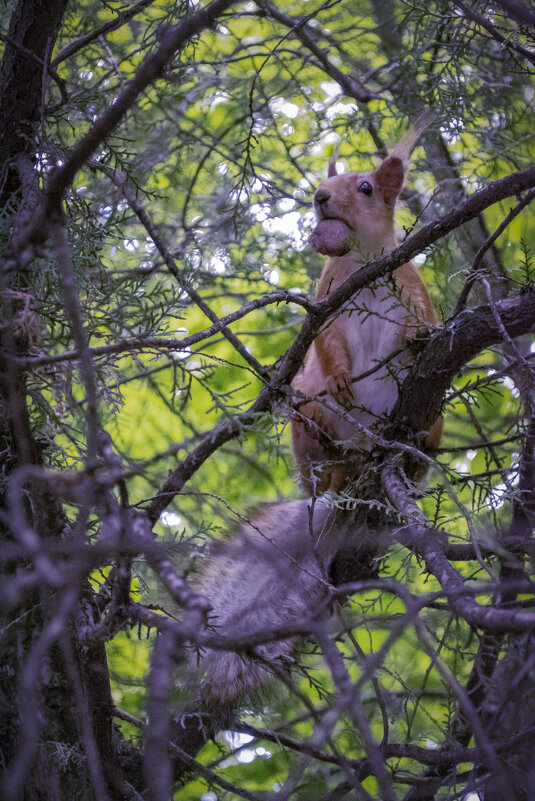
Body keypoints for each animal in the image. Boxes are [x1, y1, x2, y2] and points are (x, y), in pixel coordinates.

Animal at [181, 115, 444, 752]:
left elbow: (423, 323)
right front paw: (346, 375)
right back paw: (353, 459)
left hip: (432, 419)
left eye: (367, 187)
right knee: (332, 450)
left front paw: (420, 337)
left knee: (420, 445)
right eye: (328, 185)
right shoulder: (326, 301)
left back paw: (411, 450)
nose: (322, 197)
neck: (364, 268)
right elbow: (326, 344)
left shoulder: (412, 285)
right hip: (308, 419)